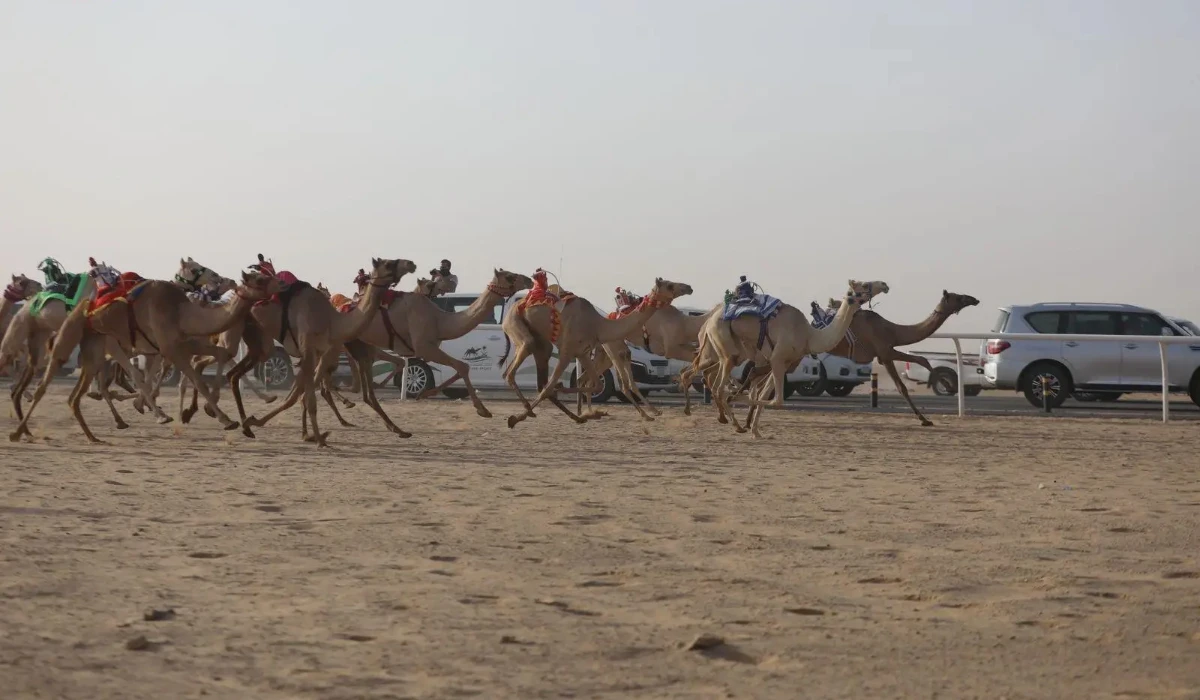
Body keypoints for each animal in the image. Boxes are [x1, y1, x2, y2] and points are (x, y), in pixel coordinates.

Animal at [12, 267, 281, 442]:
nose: (279, 283)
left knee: (89, 384)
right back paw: (18, 431)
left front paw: (206, 410)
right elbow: (194, 377)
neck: (182, 312)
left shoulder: (182, 344)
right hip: (76, 335)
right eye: (259, 279)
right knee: (48, 379)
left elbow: (219, 355)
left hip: (99, 345)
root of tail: (84, 305)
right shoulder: (170, 347)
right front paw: (225, 418)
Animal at [232, 257, 414, 446]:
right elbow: (306, 397)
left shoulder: (322, 353)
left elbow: (299, 395)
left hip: (259, 340)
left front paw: (308, 435)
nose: (410, 264)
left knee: (235, 374)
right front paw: (319, 439)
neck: (333, 321)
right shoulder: (310, 349)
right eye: (388, 263)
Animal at [504, 275, 693, 429]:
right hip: (516, 324)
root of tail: (516, 304)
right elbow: (549, 387)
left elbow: (596, 384)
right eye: (669, 285)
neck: (598, 325)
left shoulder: (582, 352)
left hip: (542, 342)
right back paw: (527, 412)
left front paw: (590, 412)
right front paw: (514, 419)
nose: (689, 287)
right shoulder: (567, 350)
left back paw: (575, 416)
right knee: (513, 372)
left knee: (530, 373)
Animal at [686, 279, 889, 437]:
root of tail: (708, 320)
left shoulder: (784, 362)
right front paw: (739, 404)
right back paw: (733, 420)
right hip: (723, 341)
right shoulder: (777, 357)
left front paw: (756, 431)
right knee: (718, 385)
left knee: (711, 378)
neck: (809, 335)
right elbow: (777, 401)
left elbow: (764, 394)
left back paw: (729, 419)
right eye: (865, 284)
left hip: (729, 349)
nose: (884, 284)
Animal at [813, 290, 979, 426]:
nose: (974, 299)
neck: (893, 331)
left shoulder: (884, 355)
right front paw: (925, 417)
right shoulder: (885, 353)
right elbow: (907, 381)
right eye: (957, 297)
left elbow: (918, 364)